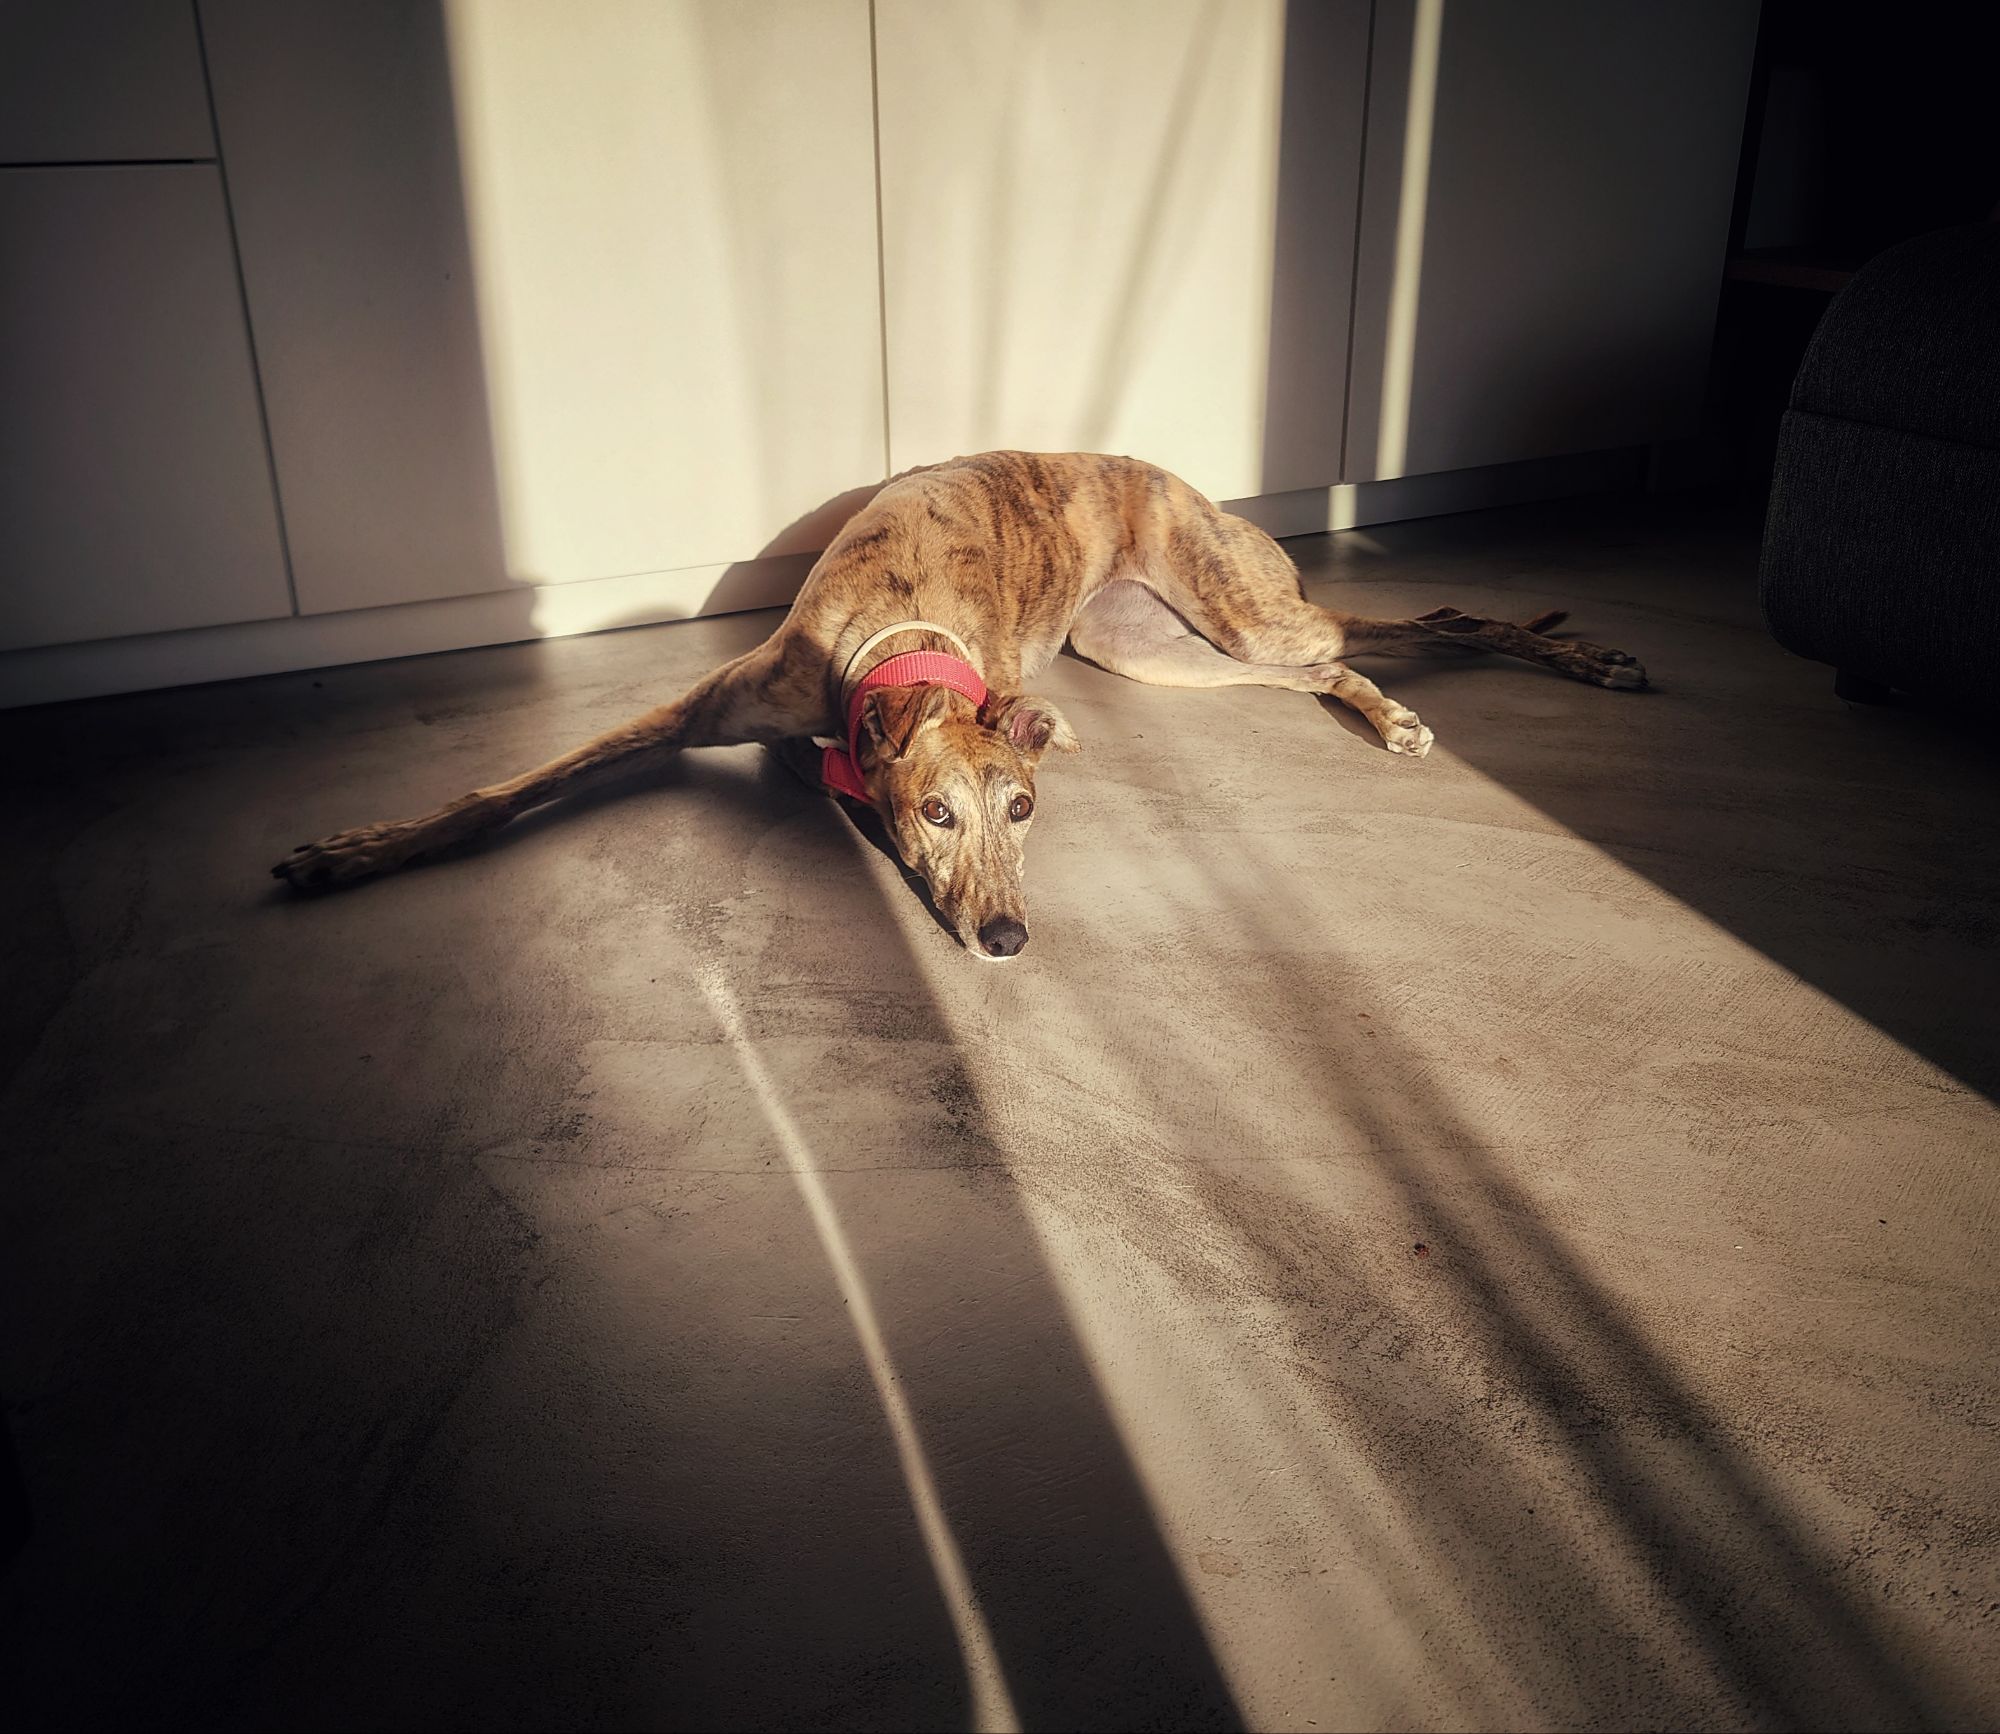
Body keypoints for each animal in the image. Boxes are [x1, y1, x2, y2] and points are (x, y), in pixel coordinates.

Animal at [272, 451, 1646, 956]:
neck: (900, 640)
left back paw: (1559, 668)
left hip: (1230, 608)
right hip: (1161, 649)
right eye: (934, 814)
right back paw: (1397, 704)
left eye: (1024, 808)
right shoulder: (693, 713)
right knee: (1337, 660)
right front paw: (353, 851)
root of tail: (1181, 479)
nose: (1006, 940)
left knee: (1413, 623)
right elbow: (497, 793)